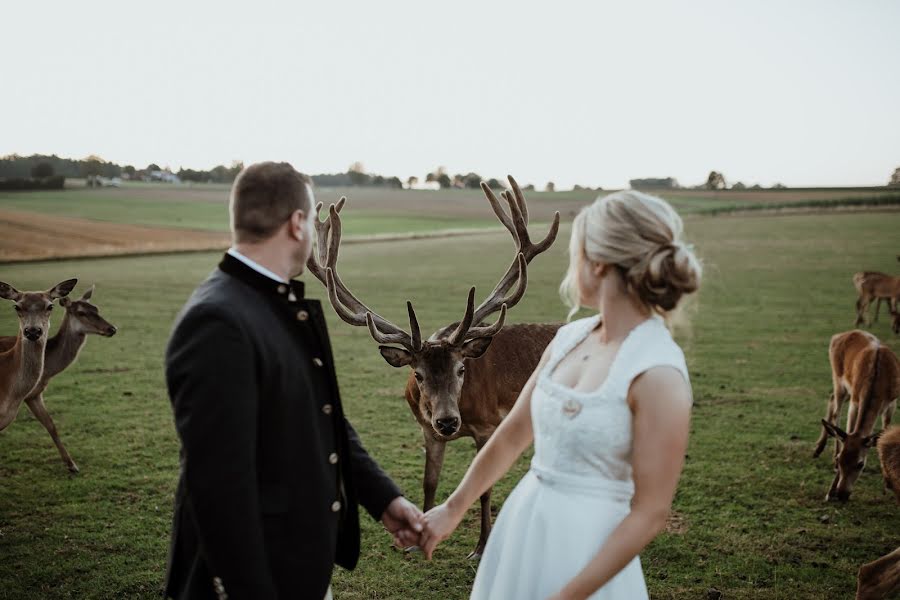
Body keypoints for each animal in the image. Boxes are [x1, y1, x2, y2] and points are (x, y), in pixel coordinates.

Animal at [310, 177, 564, 556]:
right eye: (418, 374)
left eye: (462, 370)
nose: (448, 421)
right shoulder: (426, 430)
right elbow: (429, 481)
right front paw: (417, 541)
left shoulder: (489, 425)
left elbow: (483, 488)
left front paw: (482, 546)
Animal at [812, 330, 896, 500]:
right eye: (840, 460)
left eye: (860, 464)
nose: (842, 494)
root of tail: (838, 335)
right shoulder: (856, 400)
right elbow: (849, 431)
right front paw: (829, 492)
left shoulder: (892, 402)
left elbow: (885, 432)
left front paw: (887, 481)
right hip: (838, 378)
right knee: (836, 409)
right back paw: (819, 449)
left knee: (831, 398)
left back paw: (818, 448)